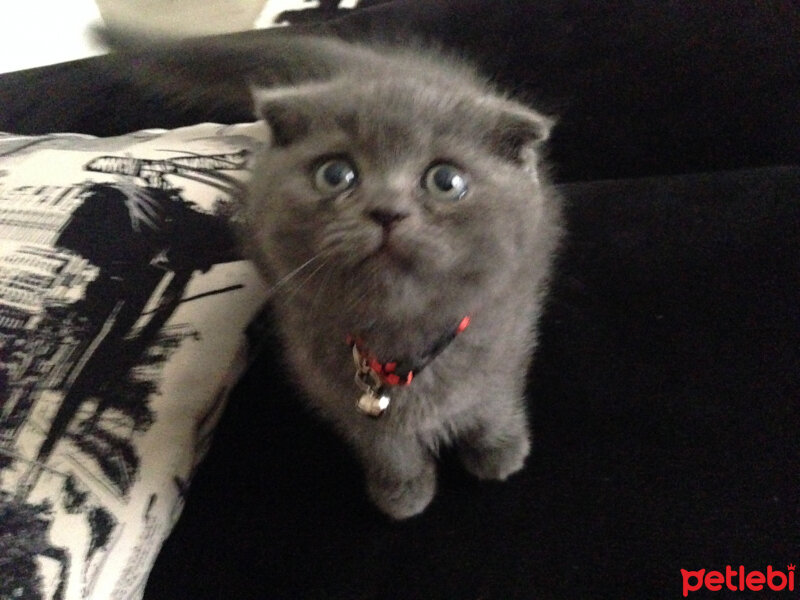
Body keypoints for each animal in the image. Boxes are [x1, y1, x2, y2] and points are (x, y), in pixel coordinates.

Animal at [101, 30, 564, 516]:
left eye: (446, 181)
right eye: (336, 173)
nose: (386, 211)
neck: (397, 349)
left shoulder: (508, 333)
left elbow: (492, 401)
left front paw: (499, 452)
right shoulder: (331, 387)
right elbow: (385, 443)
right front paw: (402, 491)